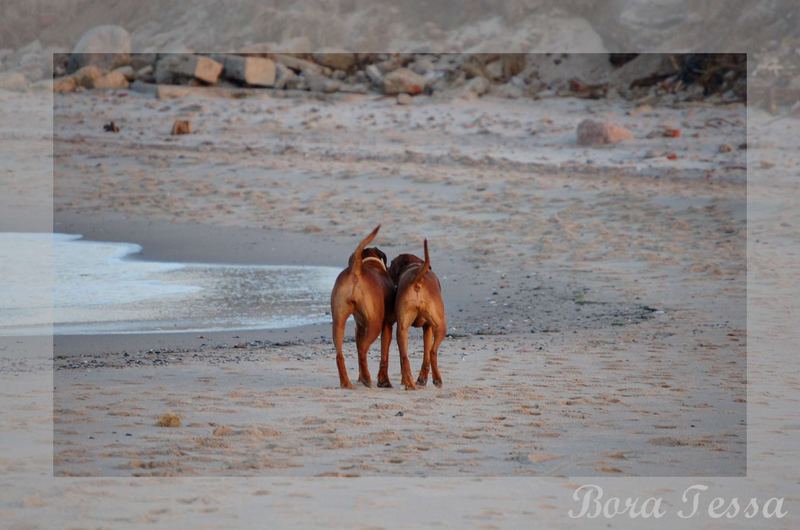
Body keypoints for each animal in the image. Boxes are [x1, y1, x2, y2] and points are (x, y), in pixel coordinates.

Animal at [330, 224, 396, 388]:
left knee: (341, 354)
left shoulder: (359, 327)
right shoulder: (387, 326)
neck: (370, 263)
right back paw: (366, 378)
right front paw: (384, 381)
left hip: (338, 322)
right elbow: (384, 354)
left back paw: (347, 382)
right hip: (375, 325)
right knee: (363, 351)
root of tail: (357, 270)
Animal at [386, 239, 444, 388]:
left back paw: (409, 382)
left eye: (392, 264)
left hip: (403, 330)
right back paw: (435, 380)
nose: (386, 268)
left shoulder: (425, 328)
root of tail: (418, 278)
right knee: (432, 352)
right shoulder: (428, 327)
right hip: (438, 326)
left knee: (405, 357)